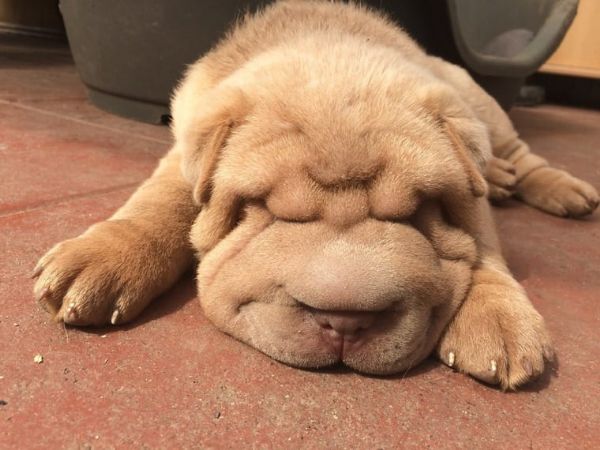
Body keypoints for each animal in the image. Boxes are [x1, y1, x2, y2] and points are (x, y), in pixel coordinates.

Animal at [34, 0, 600, 390]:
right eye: (263, 209)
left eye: (418, 211)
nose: (346, 322)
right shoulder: (183, 151)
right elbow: (161, 203)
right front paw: (104, 257)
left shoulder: (470, 194)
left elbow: (481, 246)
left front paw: (497, 315)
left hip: (483, 104)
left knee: (523, 153)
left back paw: (557, 187)